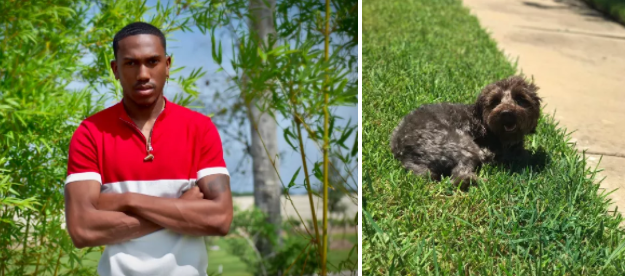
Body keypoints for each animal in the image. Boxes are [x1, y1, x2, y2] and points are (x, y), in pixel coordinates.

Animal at [390, 76, 540, 192]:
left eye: (520, 99)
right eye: (495, 101)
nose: (506, 113)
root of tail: (403, 150)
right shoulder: (488, 151)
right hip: (464, 145)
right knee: (458, 177)